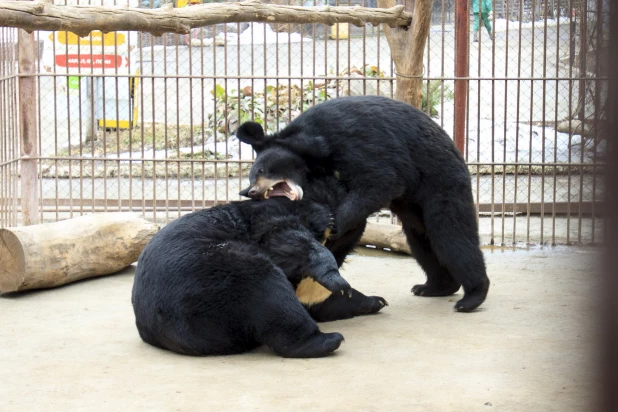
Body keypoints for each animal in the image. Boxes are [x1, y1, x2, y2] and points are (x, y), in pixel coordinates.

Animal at [131, 177, 384, 358]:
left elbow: (322, 300)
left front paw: (373, 300)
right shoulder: (272, 218)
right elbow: (286, 239)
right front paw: (337, 280)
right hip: (210, 277)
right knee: (266, 289)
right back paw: (324, 341)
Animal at [237, 94, 490, 312]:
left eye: (260, 170)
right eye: (251, 177)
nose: (251, 192)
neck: (314, 151)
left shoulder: (356, 140)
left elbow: (380, 181)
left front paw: (334, 223)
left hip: (439, 180)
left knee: (451, 233)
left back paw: (471, 297)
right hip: (413, 205)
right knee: (422, 241)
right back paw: (434, 287)